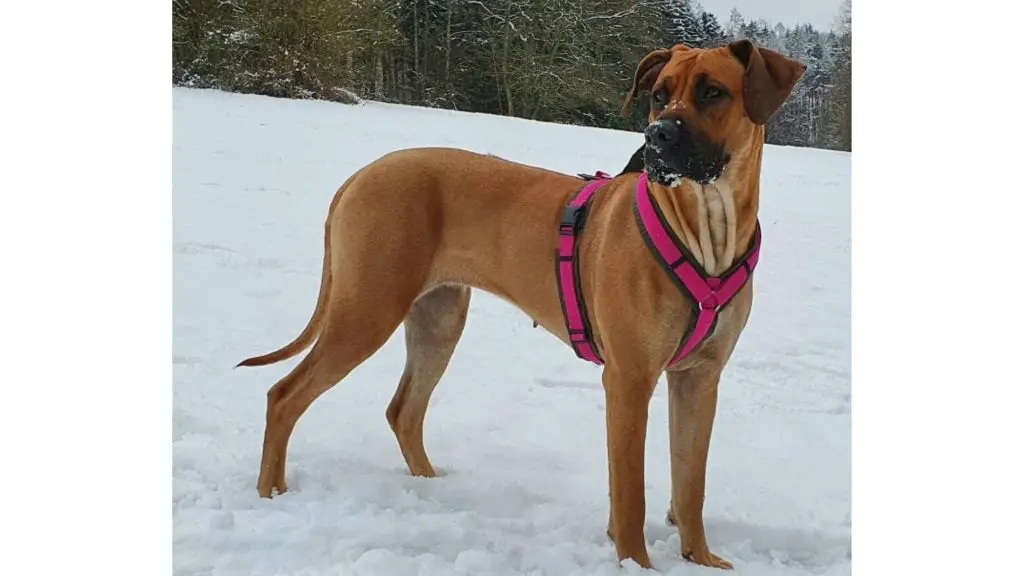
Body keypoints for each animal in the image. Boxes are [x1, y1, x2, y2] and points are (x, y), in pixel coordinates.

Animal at [239, 41, 806, 569]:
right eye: (659, 95)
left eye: (713, 92)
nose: (657, 137)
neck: (709, 226)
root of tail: (360, 175)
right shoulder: (629, 379)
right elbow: (629, 494)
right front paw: (635, 564)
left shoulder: (699, 378)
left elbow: (691, 483)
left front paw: (702, 559)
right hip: (367, 308)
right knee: (283, 395)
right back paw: (272, 492)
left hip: (439, 317)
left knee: (403, 409)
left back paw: (429, 485)